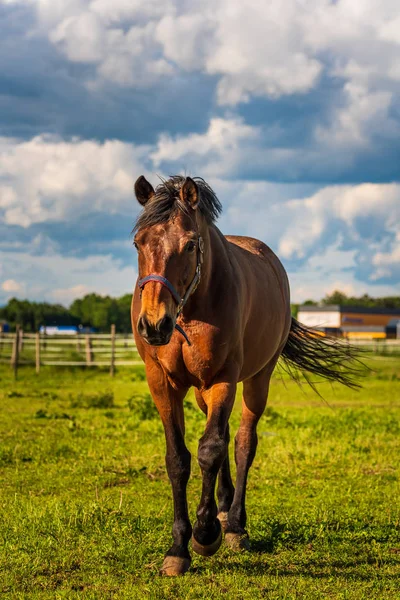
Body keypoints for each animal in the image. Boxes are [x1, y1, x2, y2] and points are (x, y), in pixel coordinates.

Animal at [131, 175, 360, 576]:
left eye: (190, 245)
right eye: (138, 243)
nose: (155, 324)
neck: (191, 311)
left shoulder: (223, 378)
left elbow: (210, 451)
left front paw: (205, 535)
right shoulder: (163, 383)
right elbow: (178, 459)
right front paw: (178, 548)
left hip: (256, 380)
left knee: (241, 443)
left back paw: (235, 524)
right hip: (201, 391)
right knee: (221, 437)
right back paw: (223, 512)